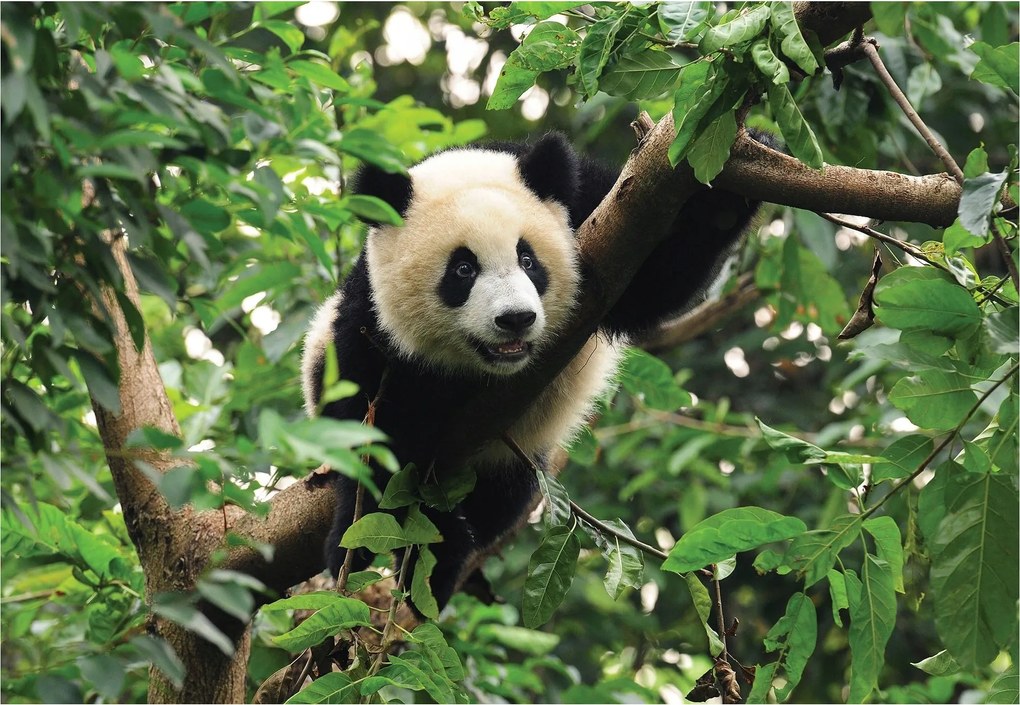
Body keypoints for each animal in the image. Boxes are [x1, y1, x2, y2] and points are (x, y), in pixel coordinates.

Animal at [302, 132, 766, 616]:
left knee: (500, 502)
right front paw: (368, 542)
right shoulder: (370, 326)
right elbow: (375, 436)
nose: (515, 319)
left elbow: (655, 280)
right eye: (463, 269)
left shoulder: (595, 212)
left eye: (528, 260)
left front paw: (737, 178)